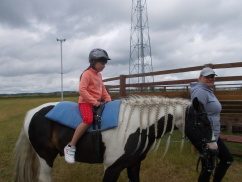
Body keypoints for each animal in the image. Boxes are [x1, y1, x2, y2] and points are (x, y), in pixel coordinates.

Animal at [12, 96, 217, 181]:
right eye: (203, 123)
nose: (214, 151)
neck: (136, 126)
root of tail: (33, 112)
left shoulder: (133, 165)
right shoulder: (111, 168)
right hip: (45, 156)